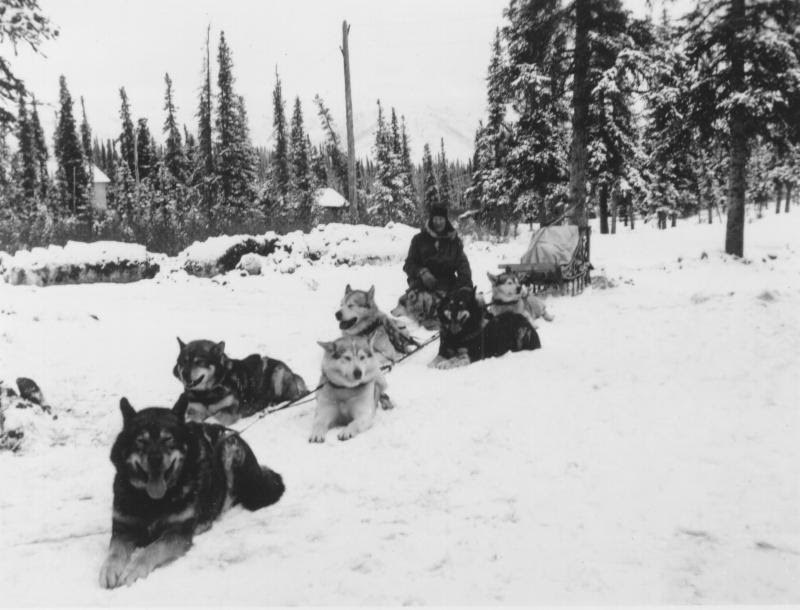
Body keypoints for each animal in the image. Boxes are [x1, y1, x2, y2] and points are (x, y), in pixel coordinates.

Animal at [99, 394, 282, 588]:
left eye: (168, 439)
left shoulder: (178, 532)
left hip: (230, 449)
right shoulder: (123, 527)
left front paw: (133, 569)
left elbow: (152, 548)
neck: (154, 501)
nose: (155, 460)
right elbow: (115, 550)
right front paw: (109, 569)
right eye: (141, 441)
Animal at [173, 338, 308, 422]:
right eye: (183, 362)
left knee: (290, 397)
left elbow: (212, 419)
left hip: (278, 373)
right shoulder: (194, 411)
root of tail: (294, 374)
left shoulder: (229, 411)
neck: (207, 393)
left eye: (199, 362)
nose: (183, 374)